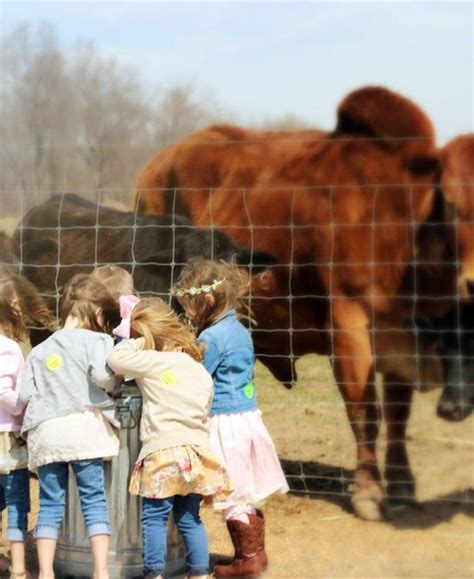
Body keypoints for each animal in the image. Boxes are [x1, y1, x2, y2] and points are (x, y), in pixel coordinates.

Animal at [135, 86, 458, 520]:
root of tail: (154, 168)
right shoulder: (349, 327)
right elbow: (366, 412)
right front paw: (369, 492)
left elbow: (397, 414)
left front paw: (403, 486)